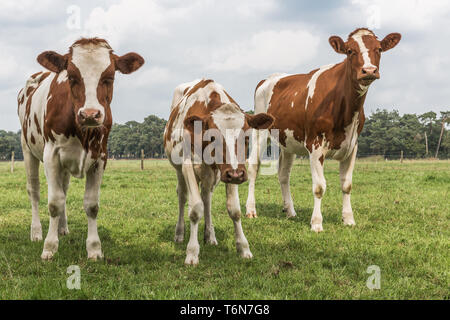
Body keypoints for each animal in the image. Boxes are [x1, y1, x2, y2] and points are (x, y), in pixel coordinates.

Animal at [17, 37, 143, 260]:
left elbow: (91, 204)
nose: (90, 114)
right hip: (27, 149)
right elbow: (54, 202)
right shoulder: (51, 155)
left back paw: (62, 228)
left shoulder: (101, 156)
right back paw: (36, 232)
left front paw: (94, 248)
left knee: (64, 189)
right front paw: (49, 247)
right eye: (72, 76)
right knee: (34, 191)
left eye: (109, 77)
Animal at [163, 79, 272, 264]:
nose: (236, 174)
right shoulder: (188, 165)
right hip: (180, 170)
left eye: (247, 137)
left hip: (212, 175)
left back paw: (210, 236)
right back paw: (179, 234)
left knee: (207, 198)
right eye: (213, 137)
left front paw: (243, 247)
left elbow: (234, 210)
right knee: (183, 196)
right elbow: (195, 209)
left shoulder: (229, 172)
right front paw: (192, 252)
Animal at [246, 28, 400, 232]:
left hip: (288, 141)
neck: (344, 109)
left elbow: (347, 185)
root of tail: (269, 78)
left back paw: (290, 211)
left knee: (284, 174)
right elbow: (319, 187)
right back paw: (251, 210)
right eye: (350, 51)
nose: (369, 70)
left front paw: (348, 219)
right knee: (253, 166)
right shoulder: (315, 145)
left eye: (380, 49)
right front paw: (317, 223)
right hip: (260, 131)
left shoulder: (352, 146)